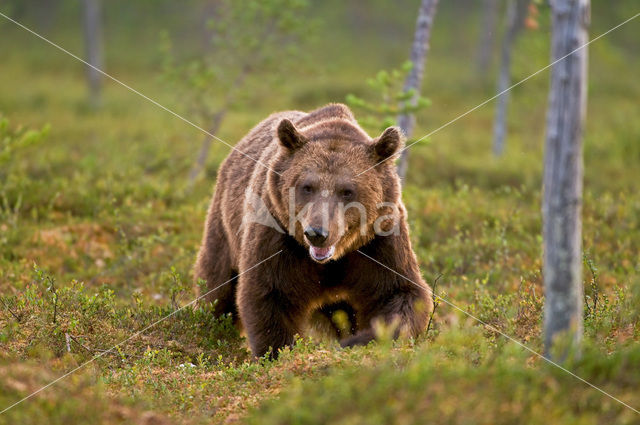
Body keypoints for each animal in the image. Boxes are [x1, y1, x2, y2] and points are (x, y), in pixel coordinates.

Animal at [195, 103, 432, 358]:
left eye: (347, 190)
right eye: (307, 186)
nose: (317, 233)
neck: (332, 261)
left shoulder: (378, 241)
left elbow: (400, 293)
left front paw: (360, 340)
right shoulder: (277, 235)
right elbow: (269, 294)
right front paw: (277, 351)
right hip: (224, 230)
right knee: (218, 289)